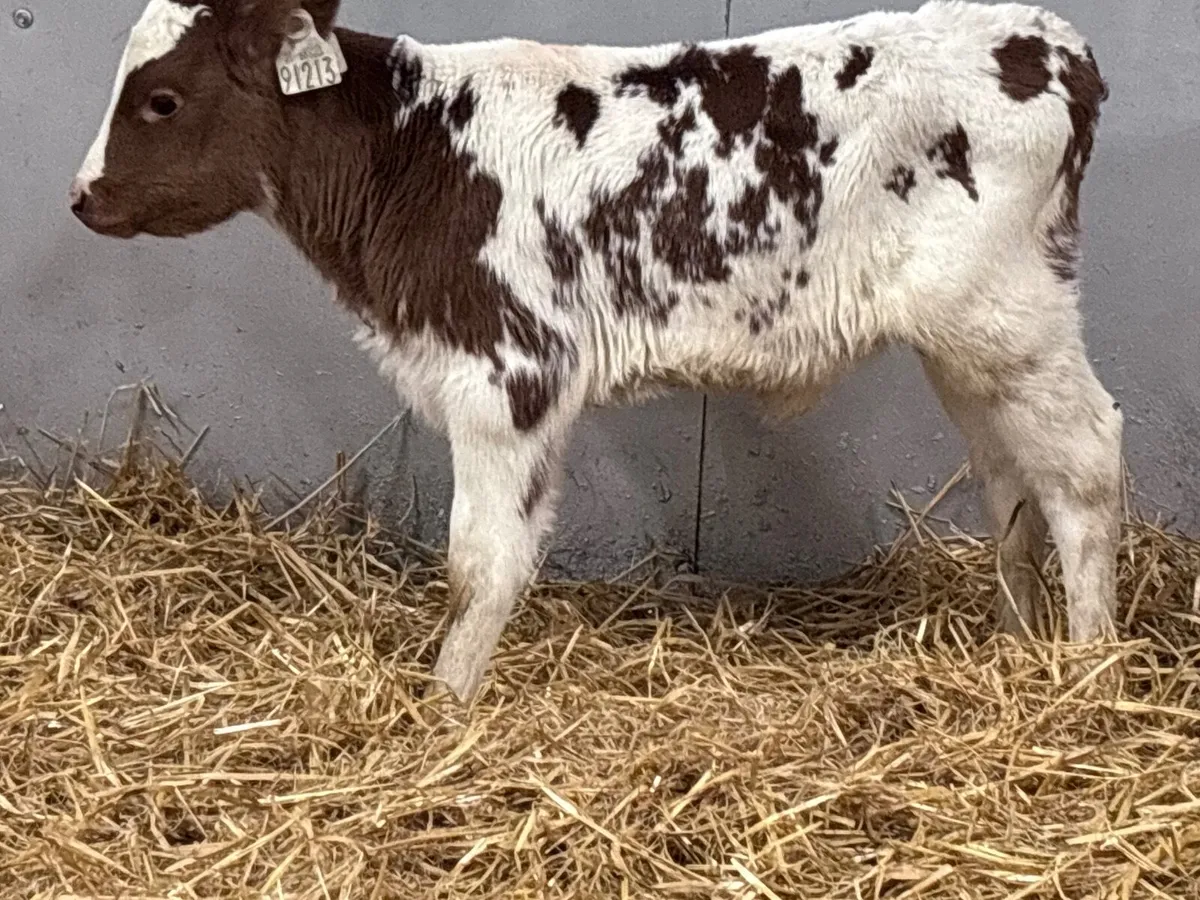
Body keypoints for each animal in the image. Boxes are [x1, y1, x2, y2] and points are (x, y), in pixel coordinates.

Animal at [69, 0, 1122, 702]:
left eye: (161, 101)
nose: (81, 198)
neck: (416, 150)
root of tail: (1047, 37)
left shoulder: (511, 372)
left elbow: (481, 560)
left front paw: (445, 710)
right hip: (969, 344)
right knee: (1008, 476)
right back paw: (1018, 642)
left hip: (1011, 317)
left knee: (1085, 465)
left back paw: (1090, 665)